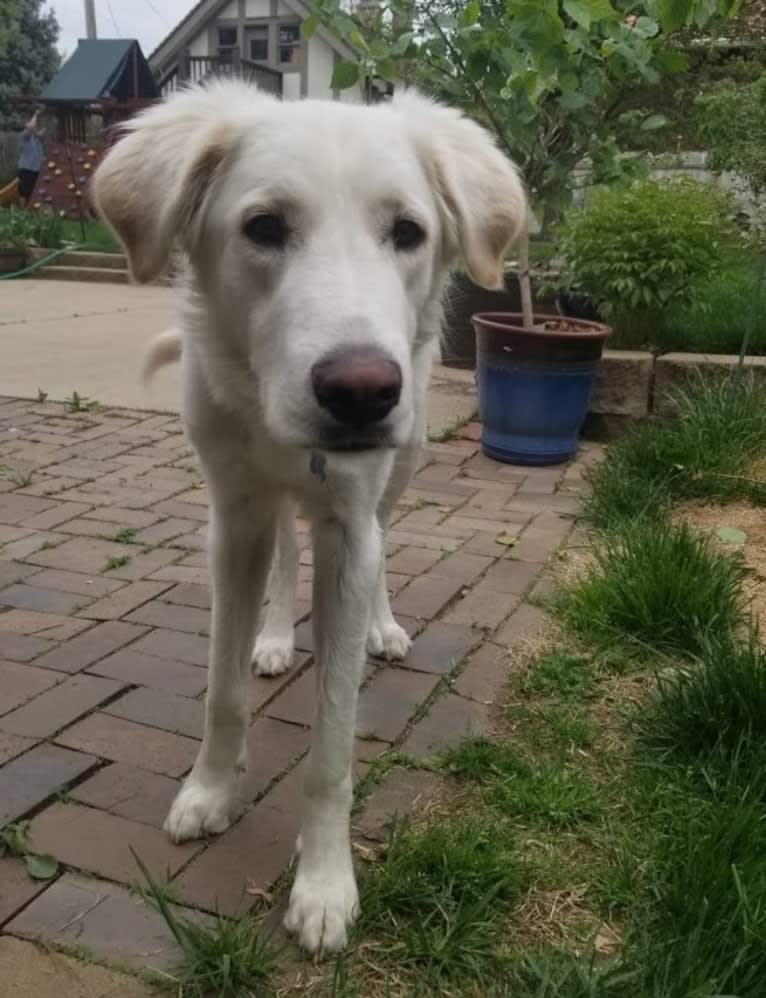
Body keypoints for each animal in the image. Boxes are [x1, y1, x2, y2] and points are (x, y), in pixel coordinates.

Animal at [91, 82, 528, 956]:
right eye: (264, 227)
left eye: (407, 233)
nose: (362, 392)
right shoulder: (233, 519)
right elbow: (222, 694)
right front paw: (211, 791)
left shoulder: (350, 529)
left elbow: (332, 748)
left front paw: (324, 884)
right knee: (288, 561)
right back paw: (273, 637)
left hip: (404, 464)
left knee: (384, 546)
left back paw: (382, 630)